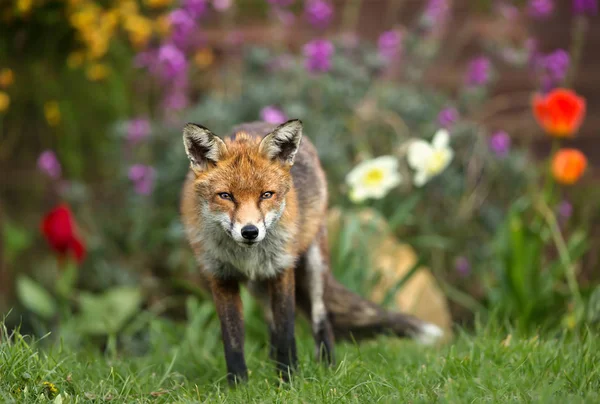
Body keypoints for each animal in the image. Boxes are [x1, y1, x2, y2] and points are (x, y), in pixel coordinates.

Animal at [180, 119, 442, 386]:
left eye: (266, 195)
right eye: (225, 196)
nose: (250, 232)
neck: (245, 257)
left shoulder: (282, 269)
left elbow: (287, 334)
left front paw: (288, 381)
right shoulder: (220, 277)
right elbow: (233, 340)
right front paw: (239, 387)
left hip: (313, 267)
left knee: (321, 319)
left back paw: (327, 368)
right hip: (260, 286)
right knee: (271, 324)